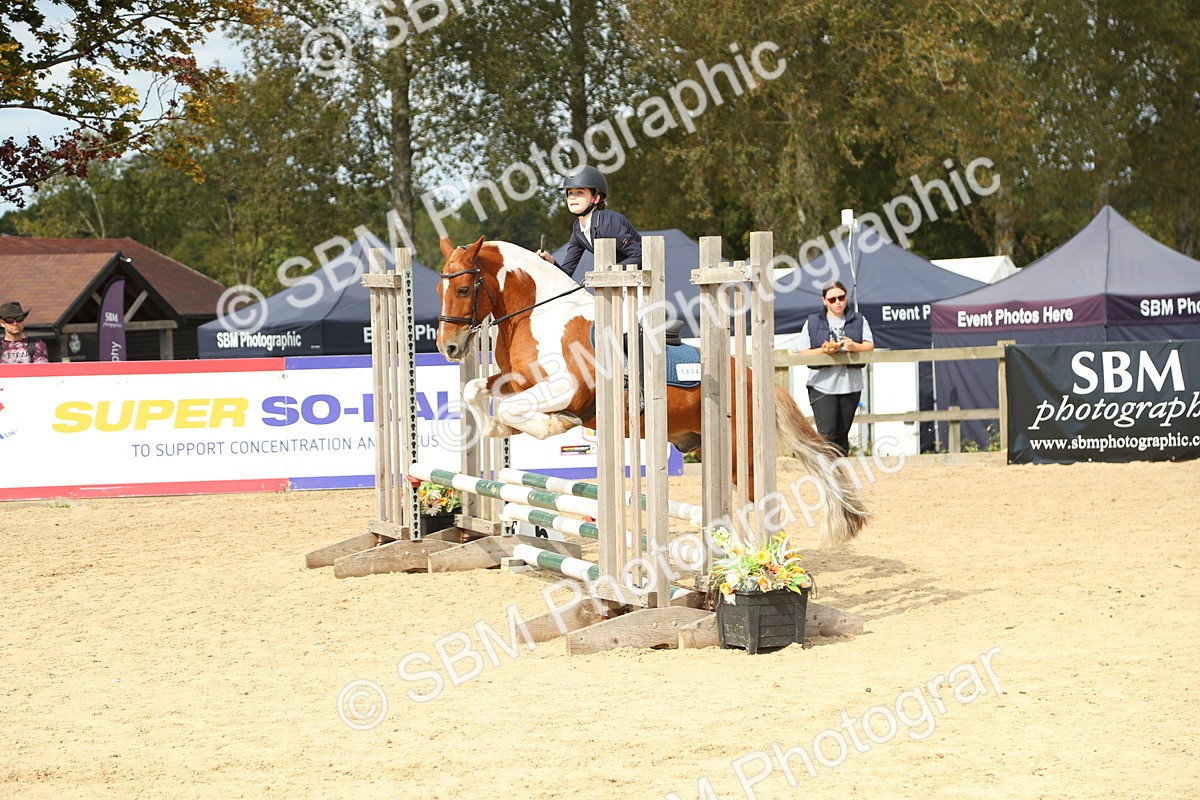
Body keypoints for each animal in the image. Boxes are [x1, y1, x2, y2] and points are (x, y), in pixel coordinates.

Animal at [434, 235, 869, 547]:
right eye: (442, 289)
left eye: (463, 290)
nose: (448, 348)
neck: (540, 313)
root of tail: (750, 377)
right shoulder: (519, 380)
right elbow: (475, 390)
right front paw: (497, 430)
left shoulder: (566, 389)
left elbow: (519, 410)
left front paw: (551, 425)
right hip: (709, 449)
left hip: (738, 453)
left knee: (762, 504)